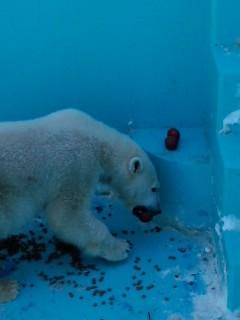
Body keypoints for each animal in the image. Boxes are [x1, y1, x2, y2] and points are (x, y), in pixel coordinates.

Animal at [0, 109, 162, 302]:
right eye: (154, 188)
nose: (158, 210)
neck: (97, 139)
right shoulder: (76, 166)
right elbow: (67, 215)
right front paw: (122, 247)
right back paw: (9, 288)